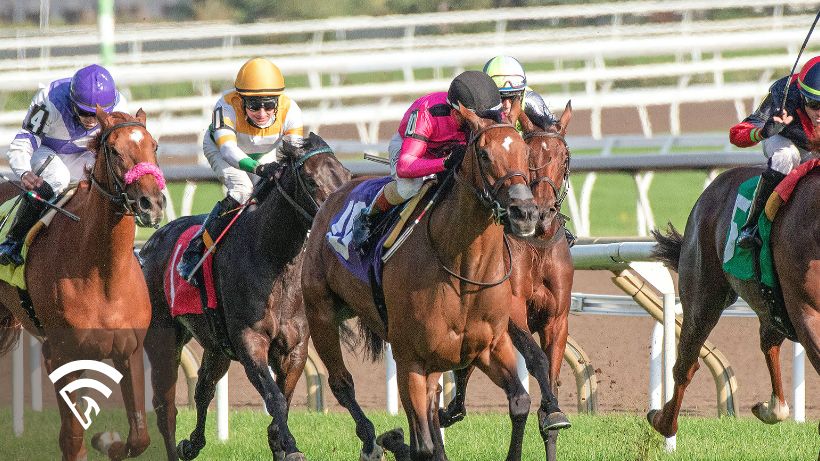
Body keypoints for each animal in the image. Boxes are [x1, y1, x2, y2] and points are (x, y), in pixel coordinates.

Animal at [0, 108, 165, 460]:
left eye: (154, 146)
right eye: (114, 150)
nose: (152, 203)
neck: (103, 275)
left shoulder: (129, 350)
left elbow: (139, 436)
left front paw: (109, 442)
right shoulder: (59, 355)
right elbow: (72, 437)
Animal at [139, 133, 351, 461]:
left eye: (347, 175)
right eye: (311, 180)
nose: (337, 222)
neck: (273, 259)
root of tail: (149, 246)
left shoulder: (295, 347)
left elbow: (284, 398)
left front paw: (279, 444)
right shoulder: (250, 341)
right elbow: (275, 398)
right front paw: (291, 447)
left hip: (215, 345)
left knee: (204, 387)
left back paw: (192, 443)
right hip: (164, 334)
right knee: (165, 400)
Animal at [301, 103, 553, 461]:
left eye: (524, 152)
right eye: (484, 154)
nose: (525, 213)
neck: (464, 270)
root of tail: (332, 197)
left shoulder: (488, 346)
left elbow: (519, 403)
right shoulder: (412, 360)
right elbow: (423, 444)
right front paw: (398, 441)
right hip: (321, 313)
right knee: (342, 383)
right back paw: (372, 439)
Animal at [438, 103, 574, 461]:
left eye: (564, 158)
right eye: (530, 155)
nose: (540, 212)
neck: (537, 244)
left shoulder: (557, 319)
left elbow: (551, 376)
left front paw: (553, 414)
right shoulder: (511, 313)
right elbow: (537, 359)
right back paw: (451, 410)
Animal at [648, 165, 820, 438]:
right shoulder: (807, 315)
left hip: (769, 306)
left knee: (768, 343)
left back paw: (771, 408)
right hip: (702, 298)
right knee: (686, 365)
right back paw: (663, 421)